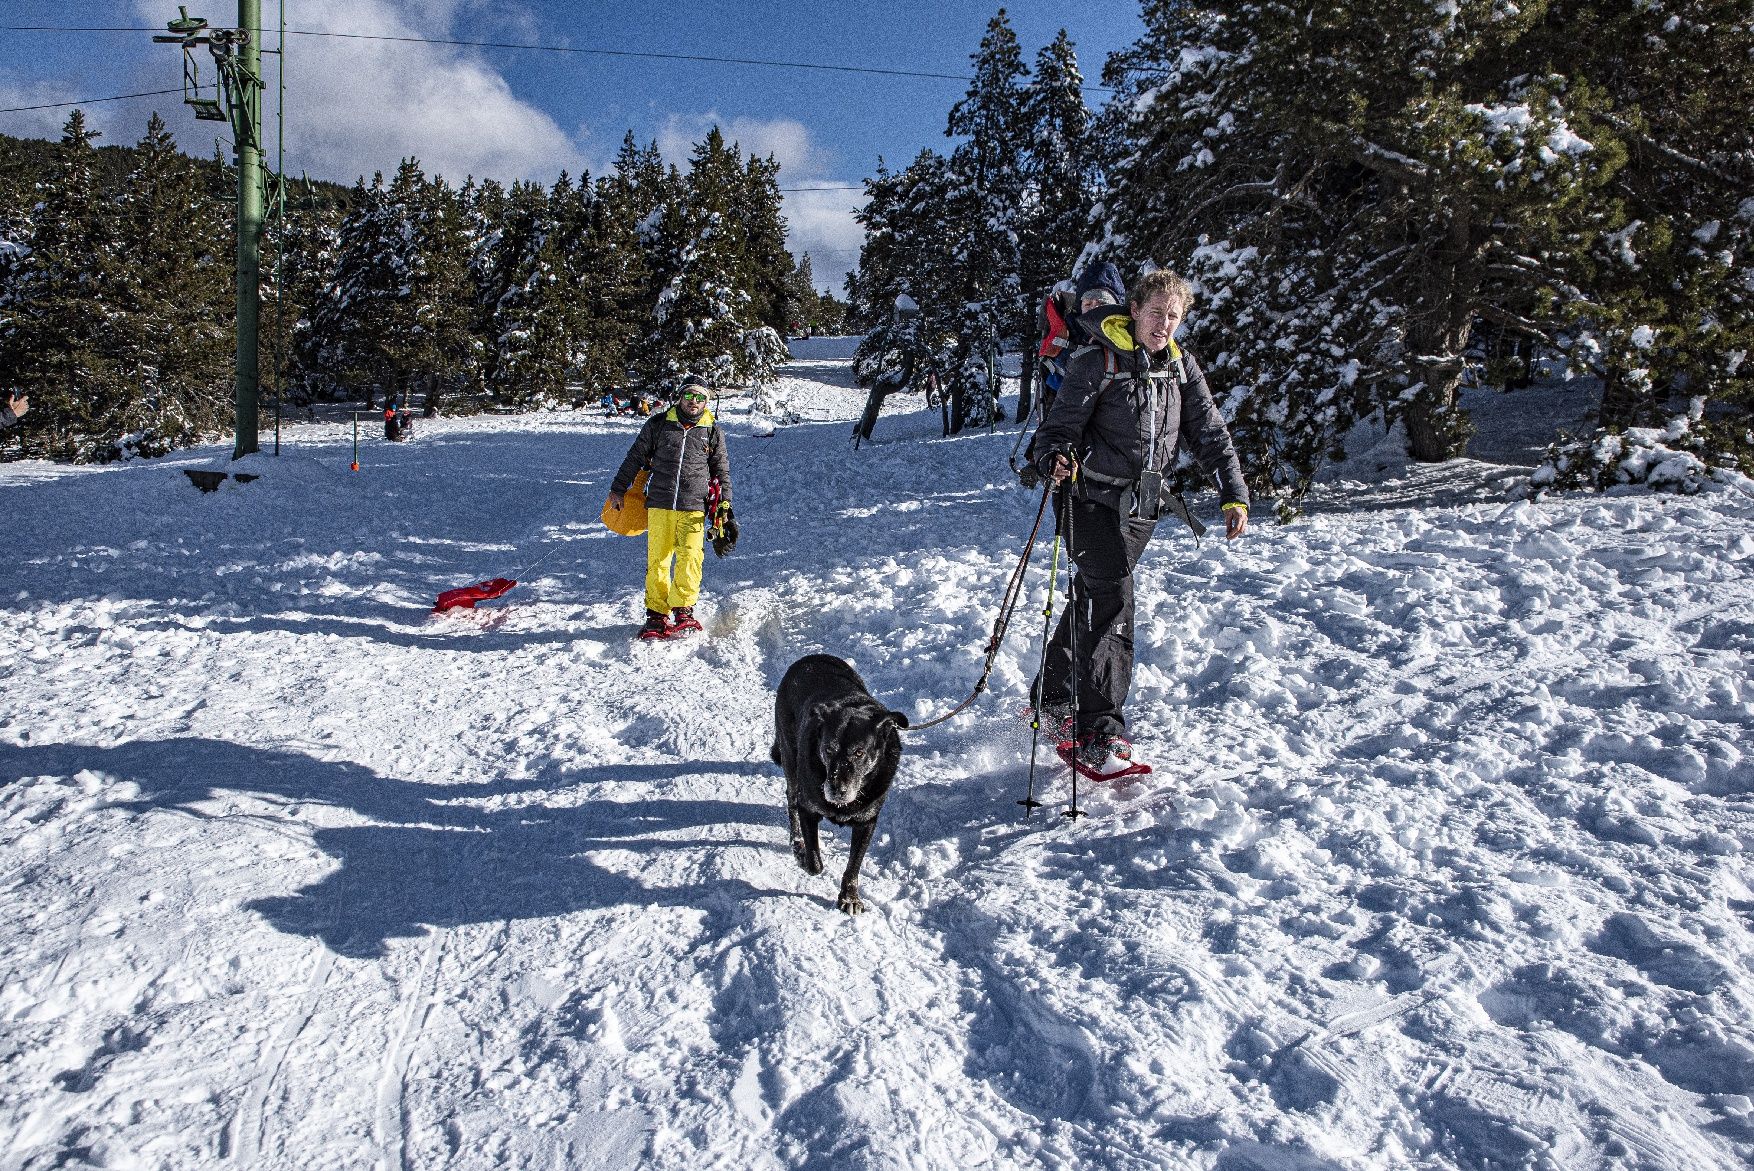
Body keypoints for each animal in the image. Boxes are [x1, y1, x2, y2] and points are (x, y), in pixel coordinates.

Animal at [775, 655, 912, 911]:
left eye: (859, 752)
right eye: (828, 749)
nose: (836, 790)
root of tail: (810, 657)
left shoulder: (866, 822)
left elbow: (854, 865)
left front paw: (849, 897)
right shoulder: (808, 809)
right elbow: (815, 863)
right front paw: (804, 857)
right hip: (789, 757)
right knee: (791, 798)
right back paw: (796, 842)